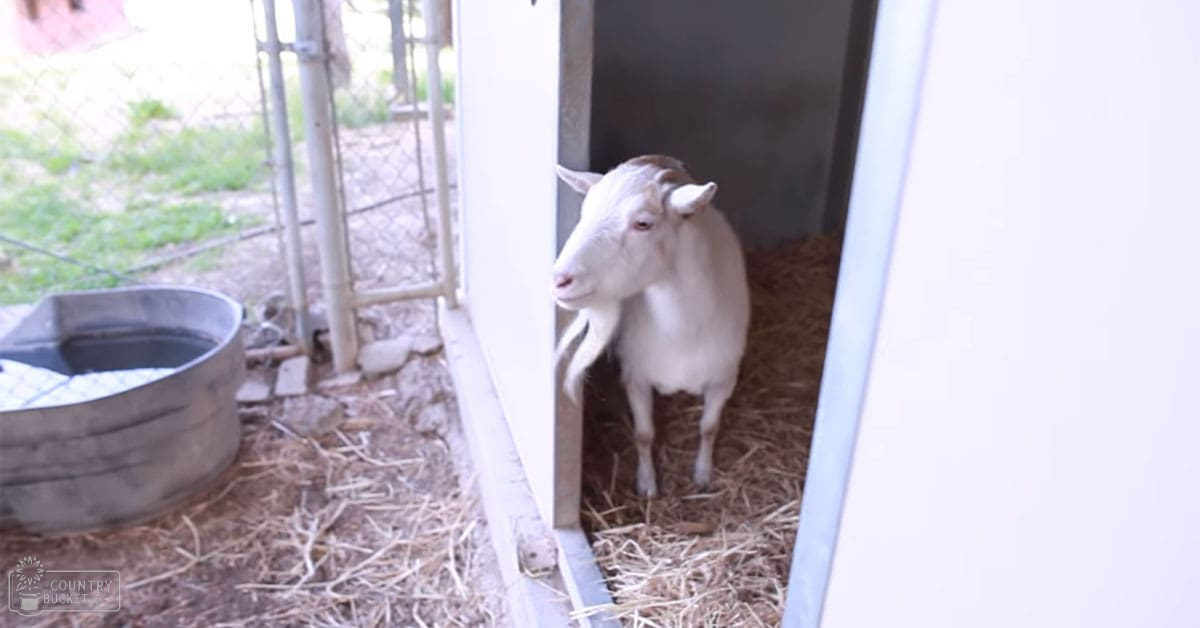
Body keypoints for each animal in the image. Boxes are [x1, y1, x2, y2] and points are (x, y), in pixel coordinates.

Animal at [553, 155, 751, 497]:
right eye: (584, 211)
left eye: (643, 223)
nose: (559, 279)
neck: (682, 335)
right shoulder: (636, 377)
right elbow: (644, 434)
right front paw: (647, 485)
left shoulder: (724, 379)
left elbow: (709, 428)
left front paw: (702, 475)